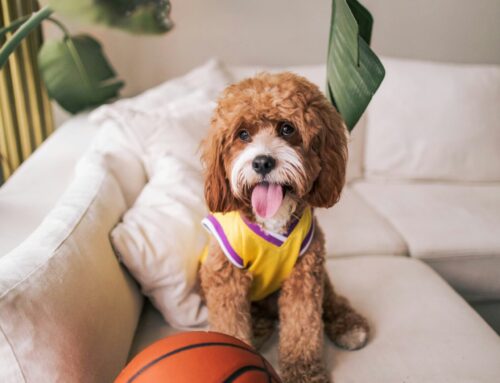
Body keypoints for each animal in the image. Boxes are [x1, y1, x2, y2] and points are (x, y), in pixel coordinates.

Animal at [198, 73, 368, 383]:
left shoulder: (305, 273)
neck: (272, 218)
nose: (262, 162)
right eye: (243, 134)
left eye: (287, 128)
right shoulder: (225, 277)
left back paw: (349, 325)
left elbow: (302, 324)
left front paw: (303, 371)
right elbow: (230, 322)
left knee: (331, 300)